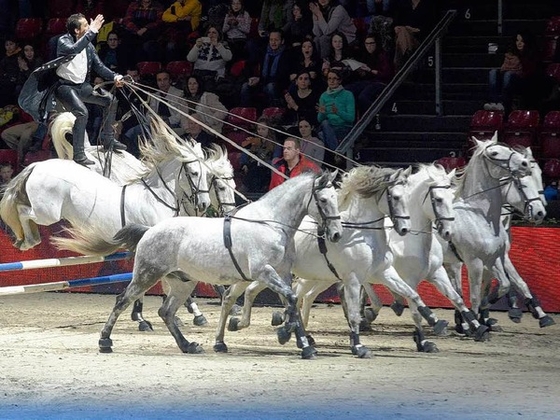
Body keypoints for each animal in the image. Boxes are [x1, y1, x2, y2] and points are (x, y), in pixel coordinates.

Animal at [0, 120, 210, 251]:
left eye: (207, 174)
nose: (205, 204)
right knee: (23, 212)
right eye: (194, 173)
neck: (156, 197)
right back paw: (29, 240)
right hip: (46, 213)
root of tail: (37, 166)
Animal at [53, 171, 342, 358]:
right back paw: (105, 341)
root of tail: (150, 230)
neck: (270, 222)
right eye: (323, 200)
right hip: (147, 275)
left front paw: (302, 342)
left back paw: (188, 345)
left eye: (336, 198)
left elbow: (291, 302)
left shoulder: (282, 273)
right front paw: (287, 334)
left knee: (166, 312)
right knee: (122, 301)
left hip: (182, 282)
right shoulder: (264, 272)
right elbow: (291, 300)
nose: (337, 234)